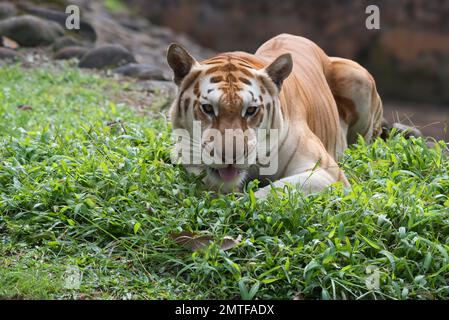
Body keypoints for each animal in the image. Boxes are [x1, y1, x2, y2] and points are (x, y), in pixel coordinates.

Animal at [164, 33, 382, 198]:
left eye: (251, 110)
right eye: (208, 108)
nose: (231, 156)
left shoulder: (326, 173)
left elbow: (271, 192)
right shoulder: (183, 151)